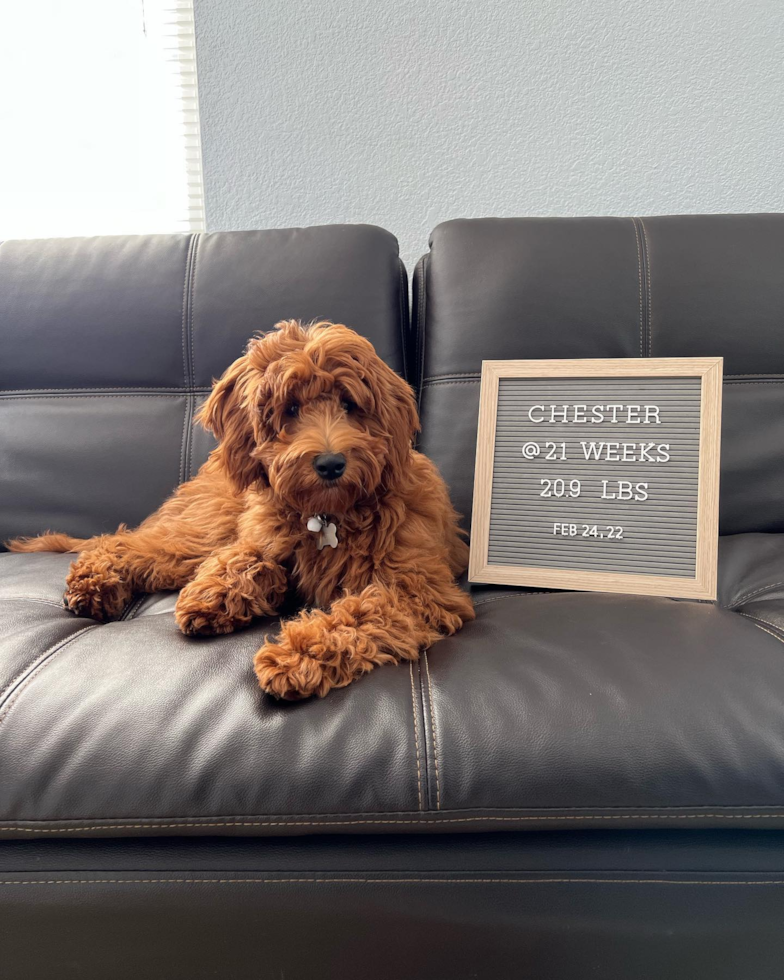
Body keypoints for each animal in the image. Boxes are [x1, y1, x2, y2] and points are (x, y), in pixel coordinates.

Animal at [7, 322, 472, 696]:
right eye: (291, 408)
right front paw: (212, 595)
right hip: (204, 528)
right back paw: (93, 582)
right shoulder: (261, 530)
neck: (329, 515)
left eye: (349, 404)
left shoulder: (419, 589)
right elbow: (246, 555)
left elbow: (359, 613)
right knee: (127, 543)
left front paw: (298, 655)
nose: (330, 464)